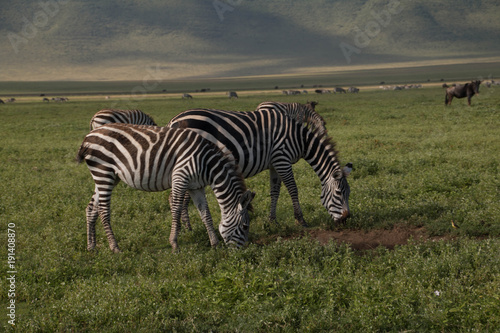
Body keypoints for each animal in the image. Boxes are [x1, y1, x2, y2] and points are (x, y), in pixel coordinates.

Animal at [76, 122, 256, 252]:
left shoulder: (196, 186)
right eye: (245, 226)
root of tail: (88, 136)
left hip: (109, 177)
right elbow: (176, 209)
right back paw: (115, 247)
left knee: (91, 208)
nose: (242, 253)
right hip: (103, 172)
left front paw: (215, 243)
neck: (207, 163)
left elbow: (205, 213)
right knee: (103, 210)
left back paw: (91, 247)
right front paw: (174, 244)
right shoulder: (180, 177)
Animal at [168, 107, 352, 227]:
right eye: (338, 193)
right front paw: (300, 220)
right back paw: (188, 228)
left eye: (348, 193)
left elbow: (275, 191)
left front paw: (272, 220)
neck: (300, 139)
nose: (346, 219)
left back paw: (187, 228)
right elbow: (293, 188)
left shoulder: (275, 163)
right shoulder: (282, 158)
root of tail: (173, 121)